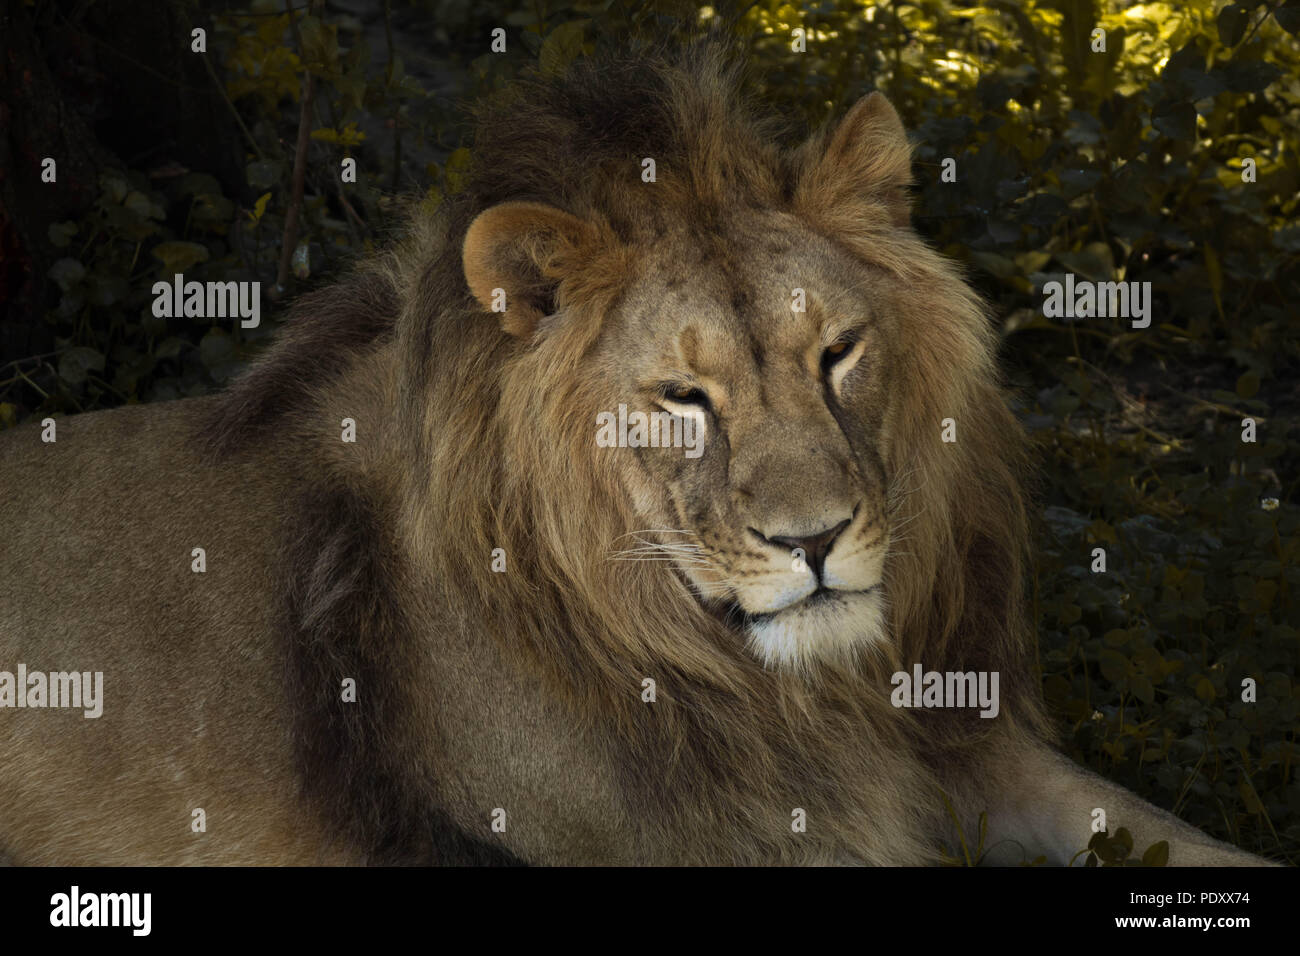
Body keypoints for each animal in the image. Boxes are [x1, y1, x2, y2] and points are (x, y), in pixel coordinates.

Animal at [0, 39, 1272, 866]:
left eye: (838, 352)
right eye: (682, 398)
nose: (815, 540)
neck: (787, 693)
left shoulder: (947, 739)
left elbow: (1162, 828)